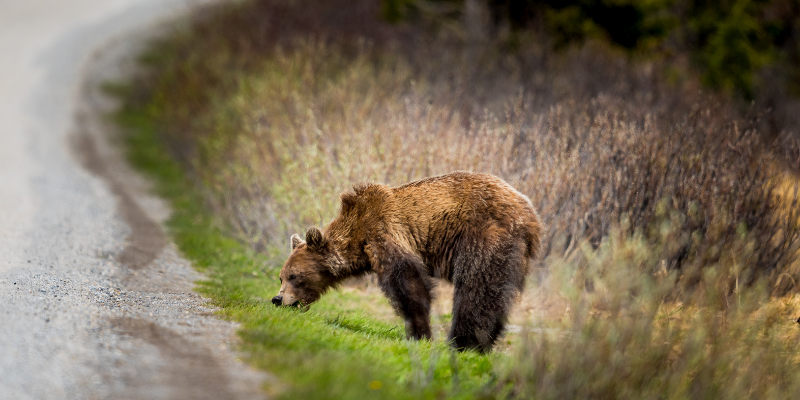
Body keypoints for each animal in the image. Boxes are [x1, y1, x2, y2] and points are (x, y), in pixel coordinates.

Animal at [272, 170, 540, 352]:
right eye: (281, 277)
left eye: (294, 276)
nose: (278, 299)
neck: (356, 233)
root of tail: (531, 216)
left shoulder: (385, 232)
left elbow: (407, 281)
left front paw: (419, 333)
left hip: (485, 235)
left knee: (478, 289)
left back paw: (465, 342)